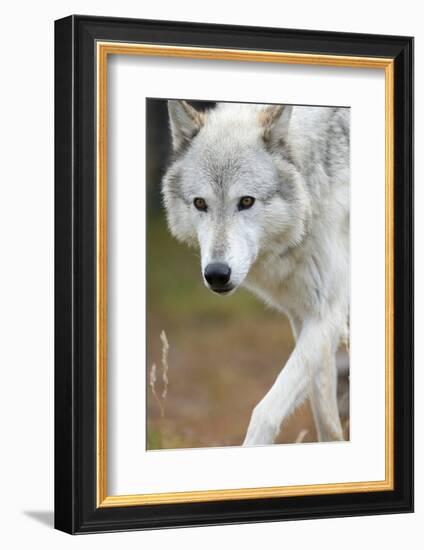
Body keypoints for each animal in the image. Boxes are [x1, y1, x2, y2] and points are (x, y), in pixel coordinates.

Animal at [161, 100, 350, 448]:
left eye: (246, 201)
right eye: (200, 203)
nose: (217, 274)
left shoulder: (328, 314)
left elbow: (266, 411)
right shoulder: (305, 316)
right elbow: (326, 419)